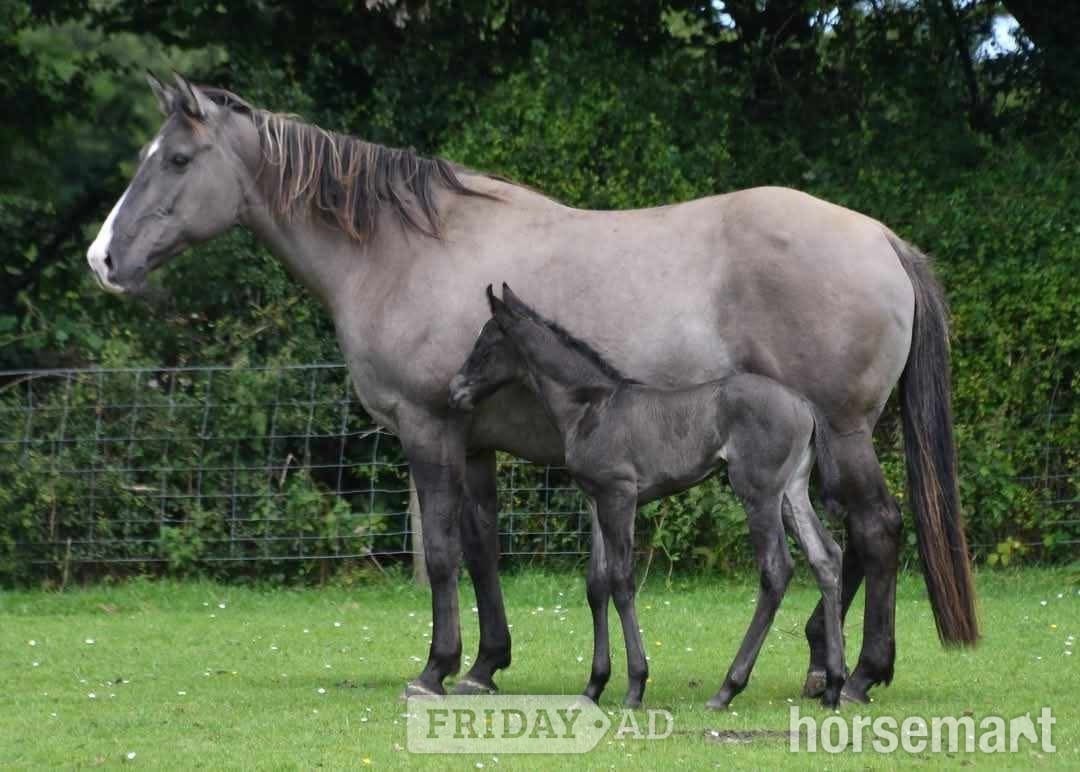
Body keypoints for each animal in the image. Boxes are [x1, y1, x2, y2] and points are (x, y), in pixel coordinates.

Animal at [449, 284, 847, 708]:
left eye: (486, 346)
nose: (454, 391)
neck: (589, 407)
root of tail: (804, 404)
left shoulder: (620, 497)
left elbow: (622, 581)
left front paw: (635, 685)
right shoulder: (595, 501)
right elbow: (596, 584)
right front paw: (594, 685)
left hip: (758, 492)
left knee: (776, 569)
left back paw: (728, 688)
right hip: (792, 492)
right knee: (825, 557)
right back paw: (834, 685)